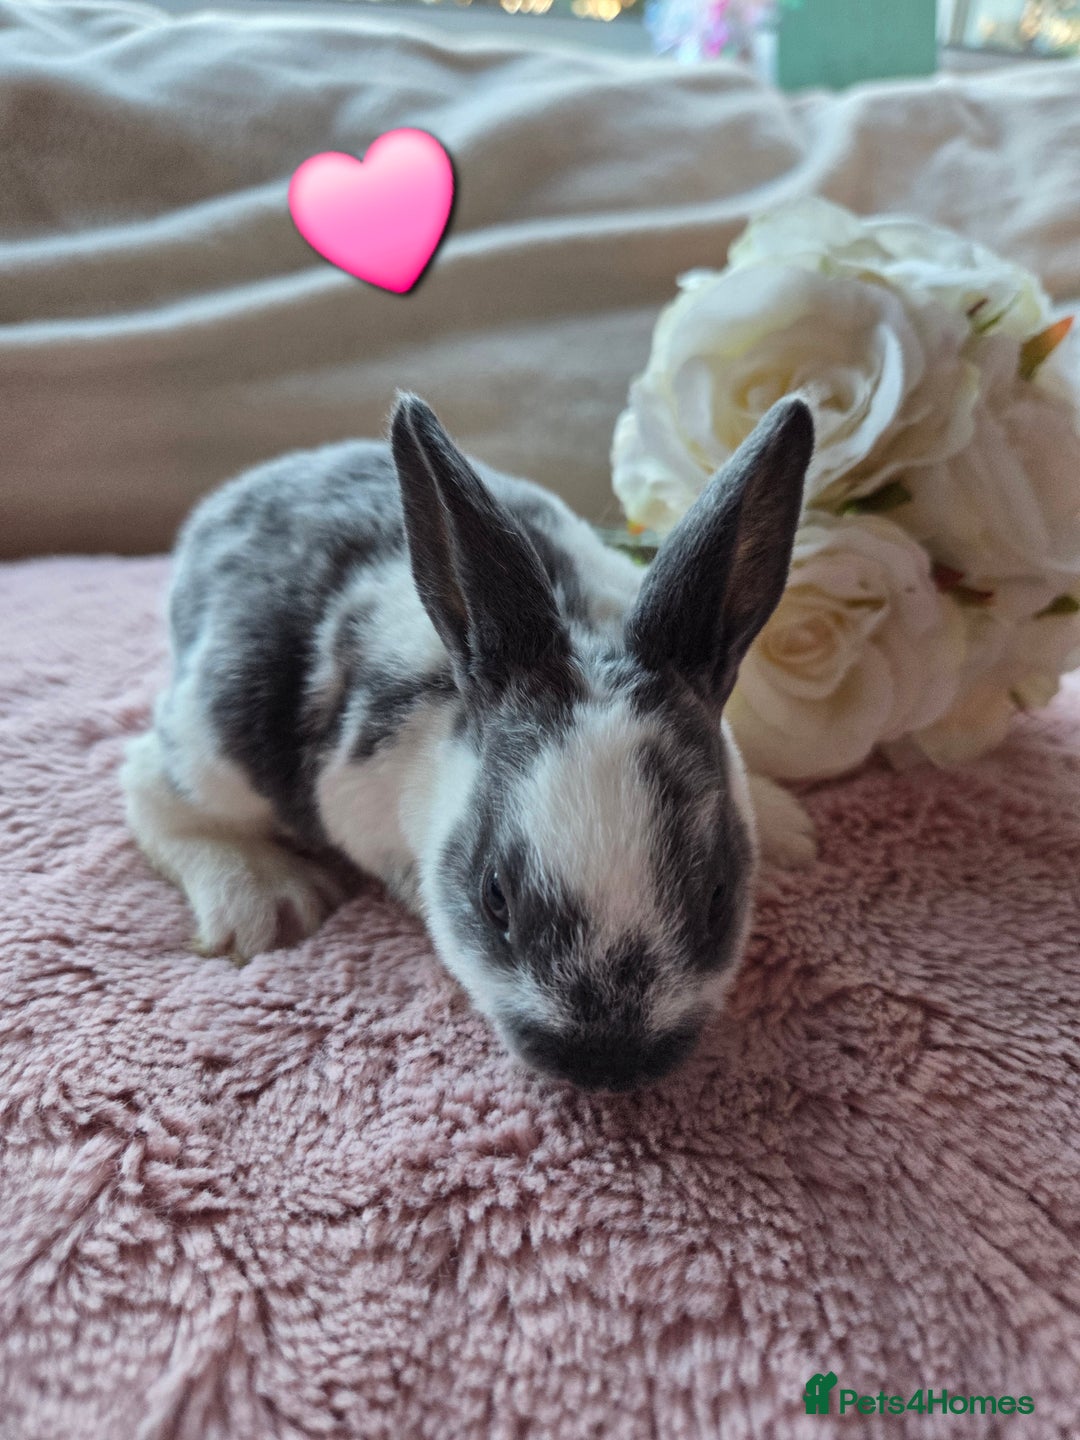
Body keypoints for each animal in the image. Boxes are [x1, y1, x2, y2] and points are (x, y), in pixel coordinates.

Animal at [121, 392, 816, 1093]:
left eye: (719, 897)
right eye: (494, 898)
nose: (606, 1063)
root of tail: (236, 496)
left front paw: (787, 831)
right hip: (219, 741)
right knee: (150, 783)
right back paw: (266, 902)